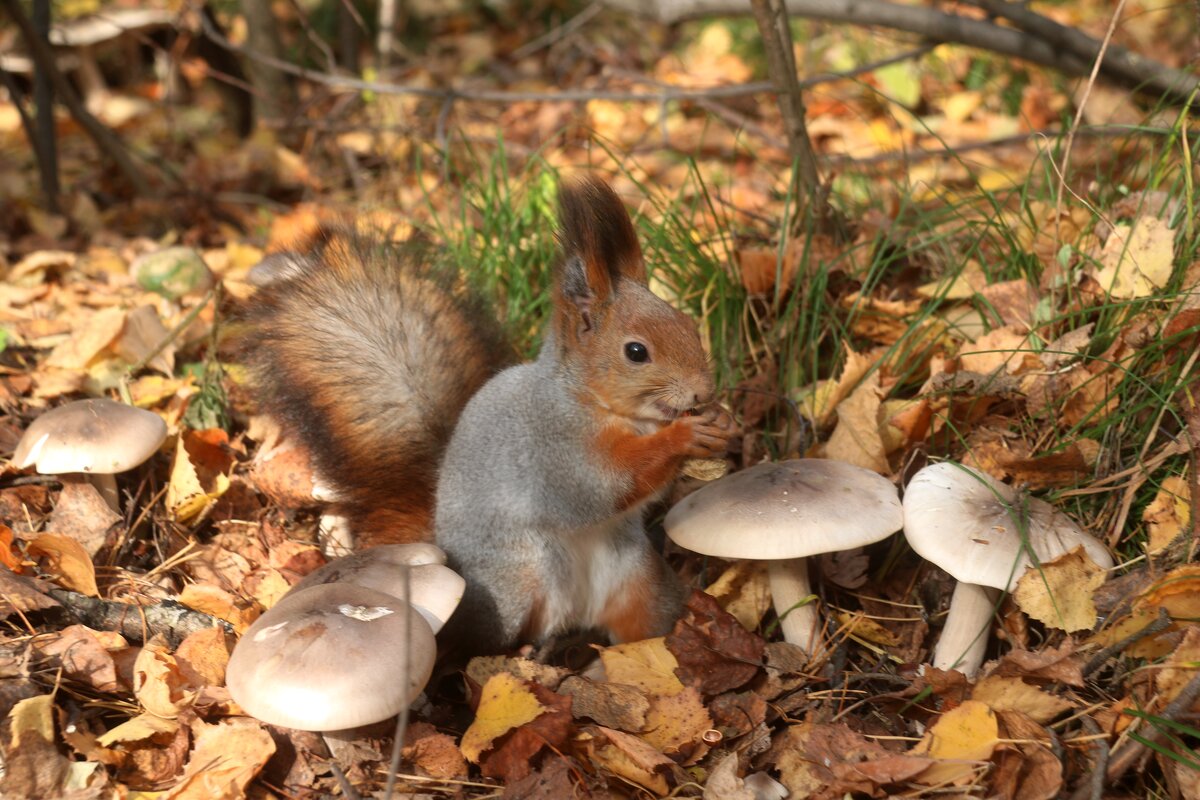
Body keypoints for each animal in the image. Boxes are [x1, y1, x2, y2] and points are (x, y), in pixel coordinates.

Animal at [240, 176, 734, 657]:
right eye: (636, 352)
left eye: (689, 325)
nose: (704, 391)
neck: (592, 402)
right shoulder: (553, 453)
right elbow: (604, 488)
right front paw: (685, 435)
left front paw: (722, 423)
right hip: (519, 583)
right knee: (493, 639)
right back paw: (535, 649)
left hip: (641, 583)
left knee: (643, 628)